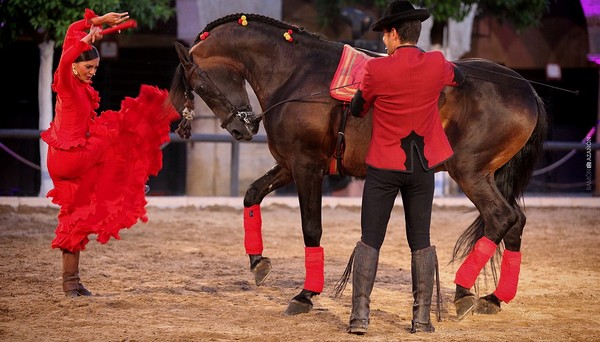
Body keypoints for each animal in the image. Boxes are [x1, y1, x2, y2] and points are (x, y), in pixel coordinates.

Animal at [169, 13, 548, 318]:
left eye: (200, 85)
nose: (242, 127)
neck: (297, 73)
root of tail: (525, 89)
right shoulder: (290, 164)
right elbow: (251, 194)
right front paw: (258, 262)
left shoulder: (307, 167)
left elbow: (311, 228)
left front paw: (305, 295)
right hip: (488, 174)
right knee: (516, 222)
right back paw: (494, 298)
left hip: (469, 172)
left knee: (501, 217)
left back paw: (463, 292)